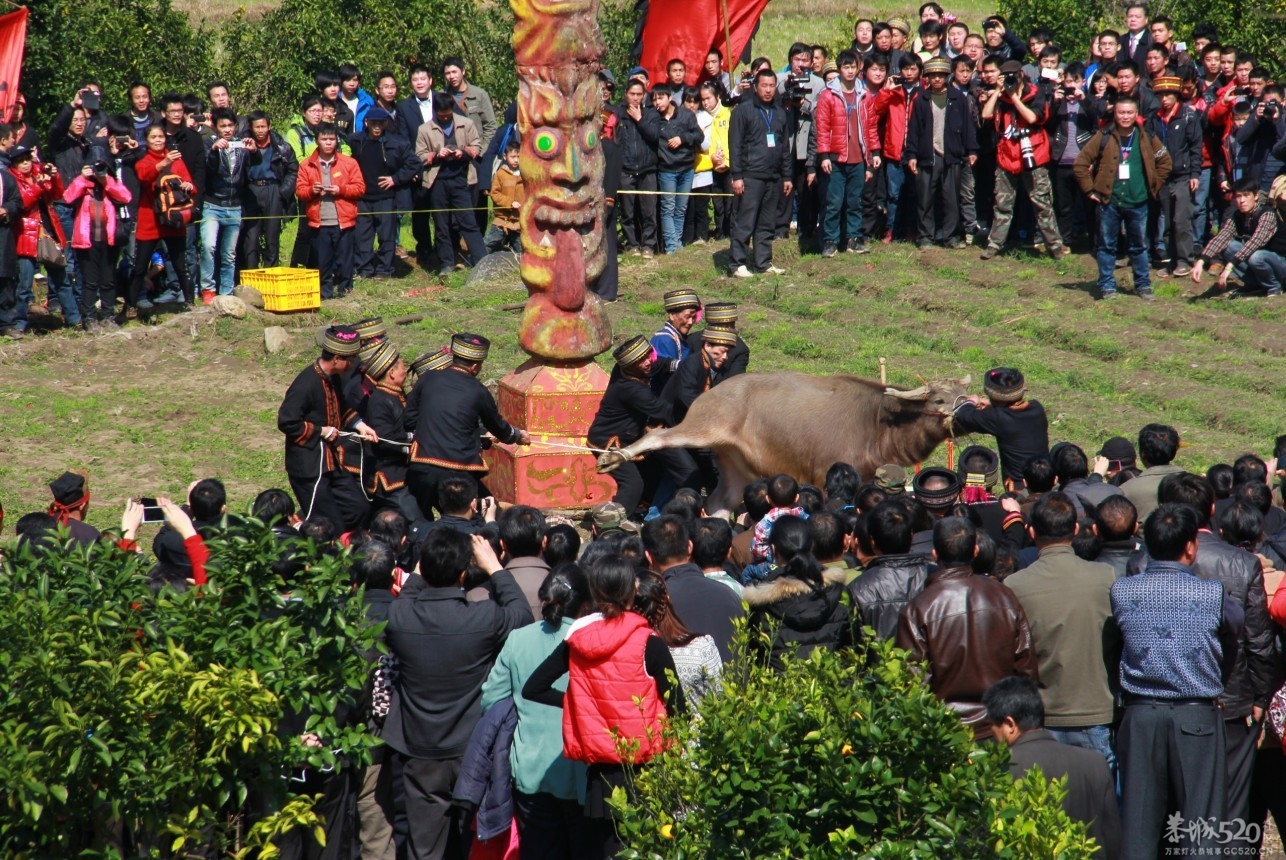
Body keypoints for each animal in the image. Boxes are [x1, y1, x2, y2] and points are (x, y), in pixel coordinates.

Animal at [596, 370, 967, 516]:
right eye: (938, 400)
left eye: (960, 394)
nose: (966, 406)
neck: (876, 421)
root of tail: (712, 393)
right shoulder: (823, 476)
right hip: (700, 427)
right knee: (658, 435)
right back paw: (612, 457)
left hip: (734, 465)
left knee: (720, 503)